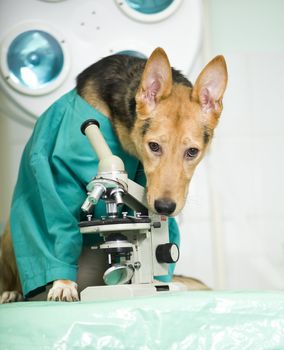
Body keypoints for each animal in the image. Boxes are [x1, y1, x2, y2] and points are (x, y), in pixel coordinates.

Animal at [0, 47, 226, 302]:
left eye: (192, 152)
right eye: (154, 146)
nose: (164, 207)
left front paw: (160, 284)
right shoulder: (53, 174)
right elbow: (55, 222)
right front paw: (62, 284)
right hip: (10, 234)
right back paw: (12, 293)